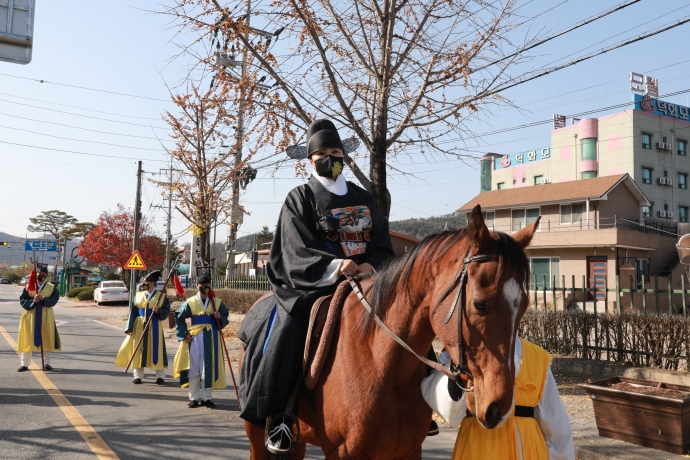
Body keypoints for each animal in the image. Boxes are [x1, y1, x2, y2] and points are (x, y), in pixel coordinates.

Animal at [241, 207, 536, 458]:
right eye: (480, 304)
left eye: (523, 306)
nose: (499, 408)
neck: (381, 362)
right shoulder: (343, 453)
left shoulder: (407, 451)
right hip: (256, 432)